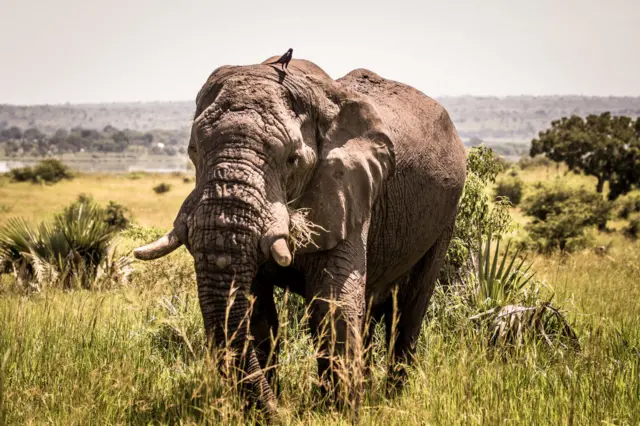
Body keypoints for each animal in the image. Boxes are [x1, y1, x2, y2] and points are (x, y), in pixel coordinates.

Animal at [135, 55, 464, 416]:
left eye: (292, 160)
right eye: (193, 151)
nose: (282, 412)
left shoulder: (349, 190)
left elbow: (332, 304)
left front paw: (340, 413)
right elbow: (256, 311)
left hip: (446, 215)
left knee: (410, 309)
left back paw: (392, 397)